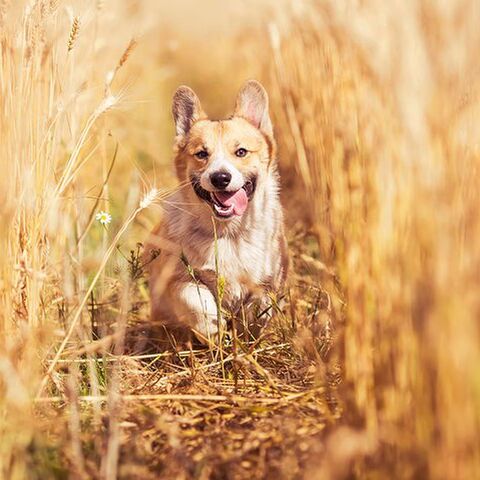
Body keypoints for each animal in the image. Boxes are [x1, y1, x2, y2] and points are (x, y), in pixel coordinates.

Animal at [145, 80, 288, 344]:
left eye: (241, 152)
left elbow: (258, 308)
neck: (227, 232)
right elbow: (195, 299)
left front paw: (245, 333)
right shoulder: (176, 278)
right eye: (202, 154)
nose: (220, 178)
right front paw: (215, 330)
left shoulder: (267, 283)